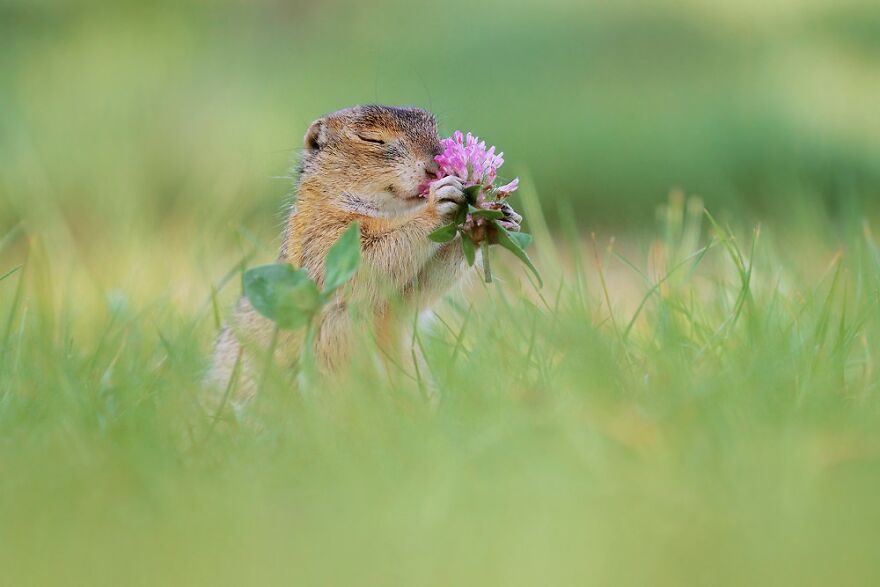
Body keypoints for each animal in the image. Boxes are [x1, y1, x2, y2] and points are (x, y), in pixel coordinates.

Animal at [209, 104, 520, 400]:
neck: (390, 212)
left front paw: (490, 222)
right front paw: (438, 203)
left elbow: (418, 288)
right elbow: (374, 258)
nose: (436, 168)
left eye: (434, 129)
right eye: (371, 139)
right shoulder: (324, 238)